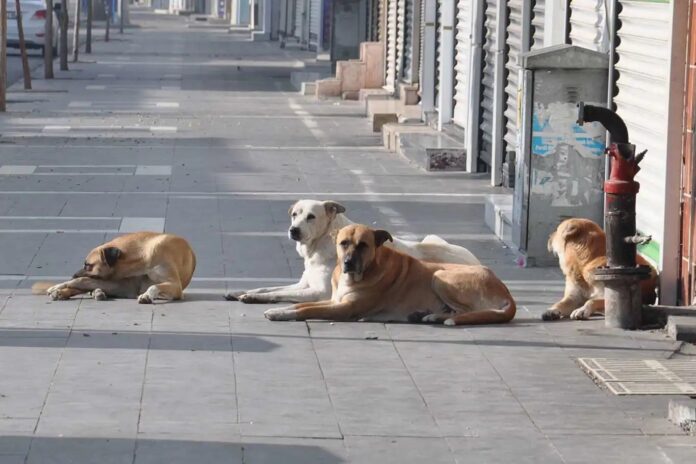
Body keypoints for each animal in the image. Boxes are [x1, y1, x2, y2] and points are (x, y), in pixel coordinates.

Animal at [32, 232, 196, 304]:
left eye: (88, 265)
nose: (73, 275)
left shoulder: (175, 286)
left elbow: (154, 286)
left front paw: (147, 295)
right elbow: (80, 281)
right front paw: (58, 286)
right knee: (83, 285)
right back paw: (61, 291)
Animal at [226, 199, 482, 304]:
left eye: (311, 216)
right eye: (294, 214)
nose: (293, 230)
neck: (320, 245)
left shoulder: (319, 292)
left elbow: (276, 293)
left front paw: (252, 298)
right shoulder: (303, 284)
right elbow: (268, 287)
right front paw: (241, 291)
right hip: (431, 237)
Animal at [264, 223, 512, 324]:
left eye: (363, 245)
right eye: (343, 243)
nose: (348, 263)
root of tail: (506, 292)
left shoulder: (345, 308)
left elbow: (306, 310)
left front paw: (280, 314)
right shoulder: (334, 300)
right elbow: (300, 305)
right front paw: (280, 310)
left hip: (440, 276)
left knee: (468, 312)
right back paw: (429, 315)